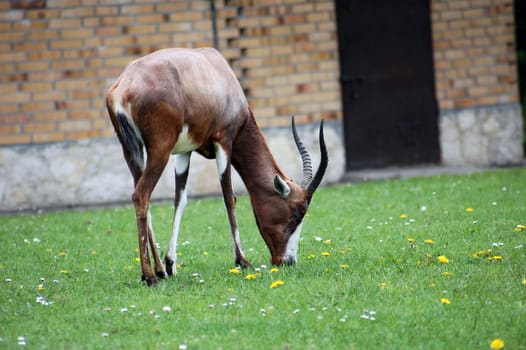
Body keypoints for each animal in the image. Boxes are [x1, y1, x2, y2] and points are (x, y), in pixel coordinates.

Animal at [105, 47, 328, 286]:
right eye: (296, 215)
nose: (288, 261)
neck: (220, 72)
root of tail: (124, 85)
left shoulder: (184, 151)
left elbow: (180, 200)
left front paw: (171, 265)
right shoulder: (224, 140)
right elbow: (229, 197)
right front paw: (242, 261)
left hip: (133, 152)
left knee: (142, 198)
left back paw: (159, 271)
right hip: (160, 151)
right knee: (141, 195)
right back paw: (148, 276)